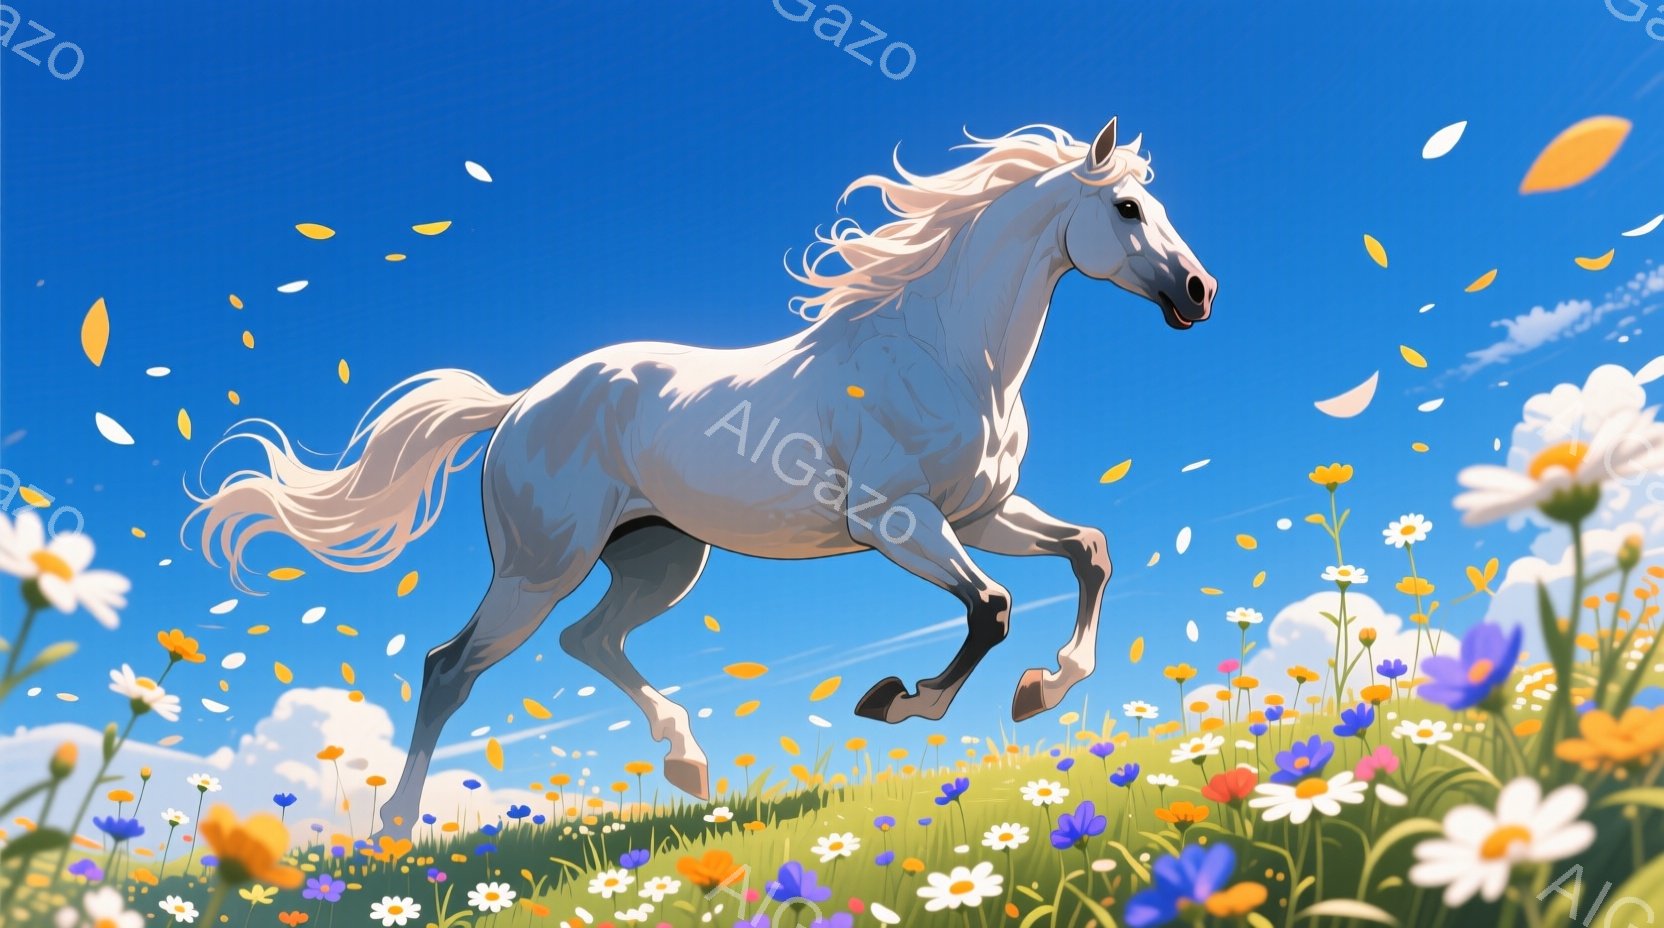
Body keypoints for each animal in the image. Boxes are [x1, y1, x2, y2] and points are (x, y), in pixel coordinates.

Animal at [187, 116, 1215, 837]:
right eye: (1126, 209)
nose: (1200, 294)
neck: (947, 352)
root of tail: (519, 403)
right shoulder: (900, 521)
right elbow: (992, 608)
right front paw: (898, 700)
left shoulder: (984, 511)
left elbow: (1089, 552)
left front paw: (1044, 688)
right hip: (538, 565)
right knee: (450, 667)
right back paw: (396, 828)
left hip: (660, 558)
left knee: (589, 641)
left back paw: (686, 763)